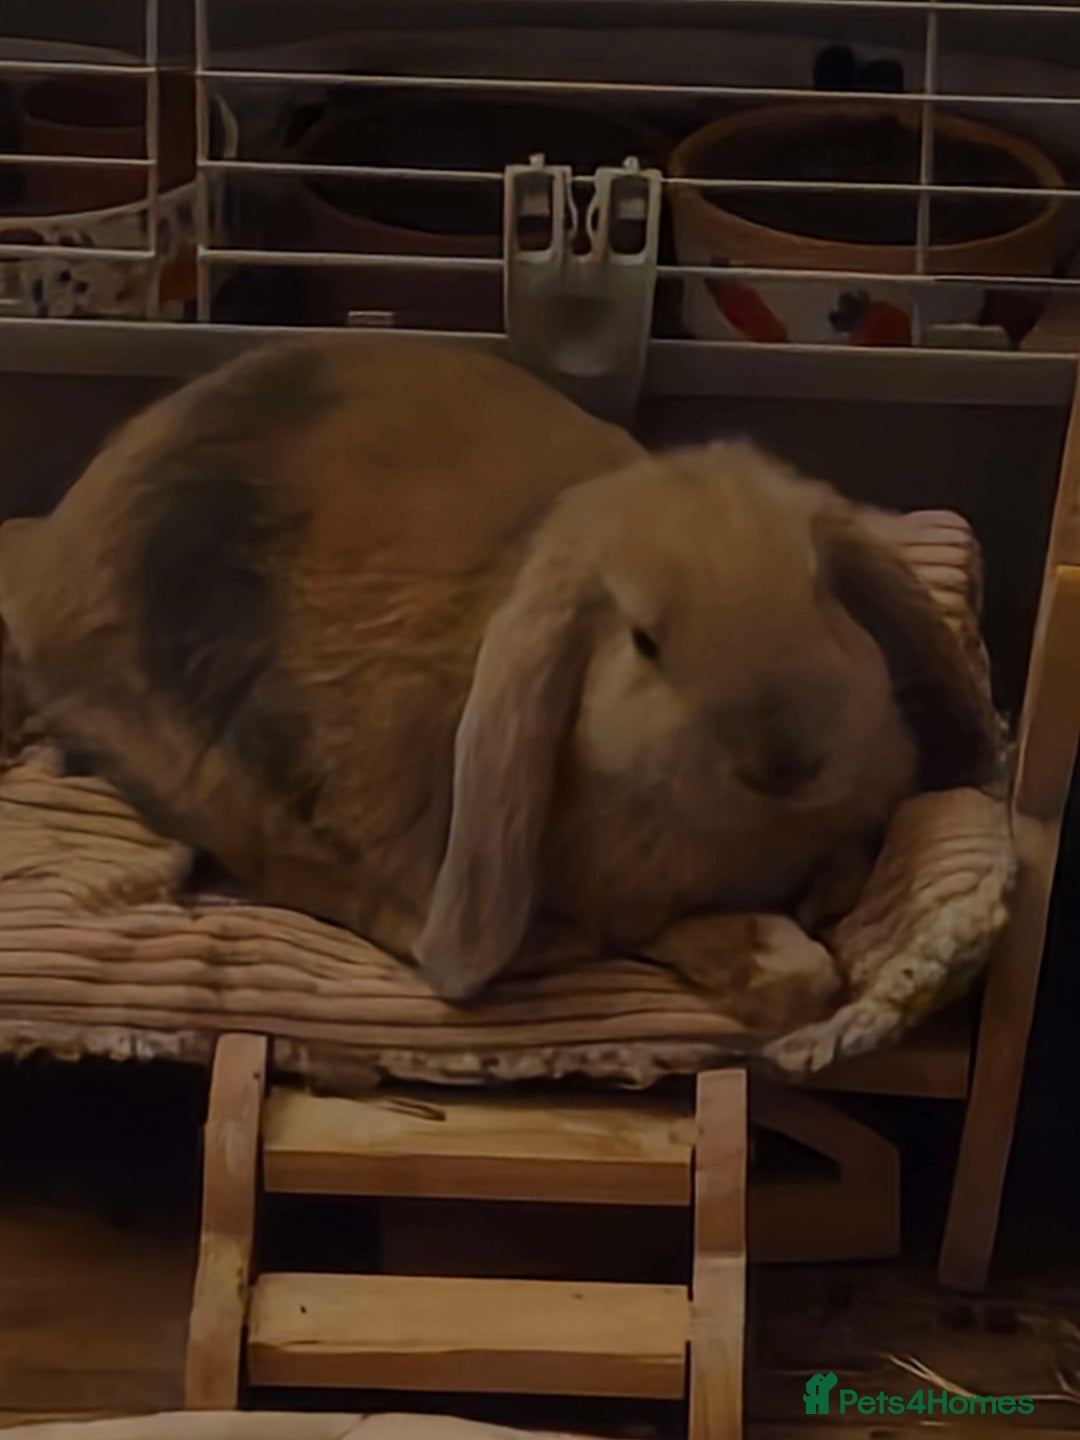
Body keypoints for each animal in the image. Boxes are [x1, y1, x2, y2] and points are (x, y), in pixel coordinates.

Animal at [0, 336, 996, 1004]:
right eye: (644, 640)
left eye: (823, 590)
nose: (786, 757)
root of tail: (57, 537)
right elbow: (668, 932)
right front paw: (781, 961)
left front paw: (825, 900)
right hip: (205, 768)